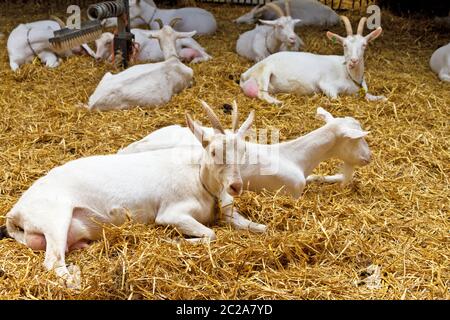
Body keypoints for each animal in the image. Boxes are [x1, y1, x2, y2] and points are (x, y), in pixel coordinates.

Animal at [0, 102, 264, 288]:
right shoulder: (172, 213)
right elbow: (210, 234)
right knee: (53, 261)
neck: (198, 177)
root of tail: (16, 211)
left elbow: (257, 227)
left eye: (243, 151)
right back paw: (76, 279)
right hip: (55, 217)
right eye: (214, 151)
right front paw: (174, 241)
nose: (236, 186)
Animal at [241, 16, 384, 104]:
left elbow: (381, 98)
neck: (348, 74)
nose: (353, 61)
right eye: (344, 45)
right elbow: (336, 99)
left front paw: (381, 97)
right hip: (264, 70)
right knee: (262, 93)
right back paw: (278, 102)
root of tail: (244, 75)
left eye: (364, 45)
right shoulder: (326, 84)